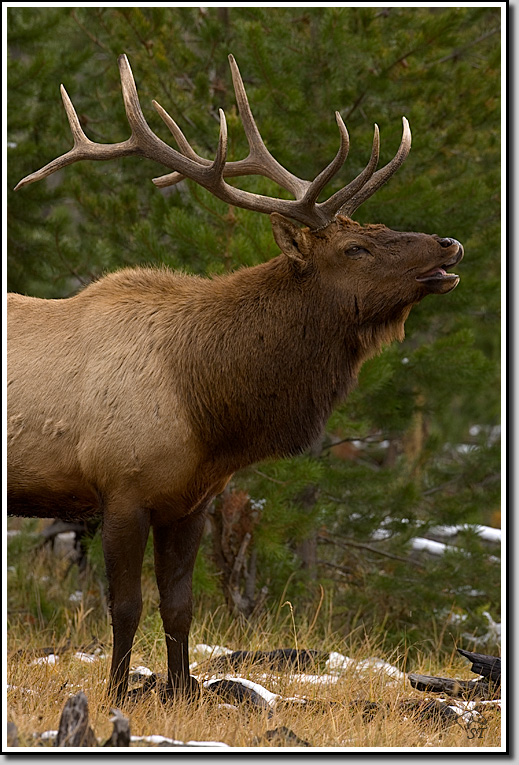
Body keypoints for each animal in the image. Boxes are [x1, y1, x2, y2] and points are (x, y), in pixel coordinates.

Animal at [8, 54, 463, 702]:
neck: (207, 409)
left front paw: (181, 690)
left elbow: (179, 606)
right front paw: (119, 692)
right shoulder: (121, 489)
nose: (447, 244)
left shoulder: (190, 501)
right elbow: (125, 606)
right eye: (356, 247)